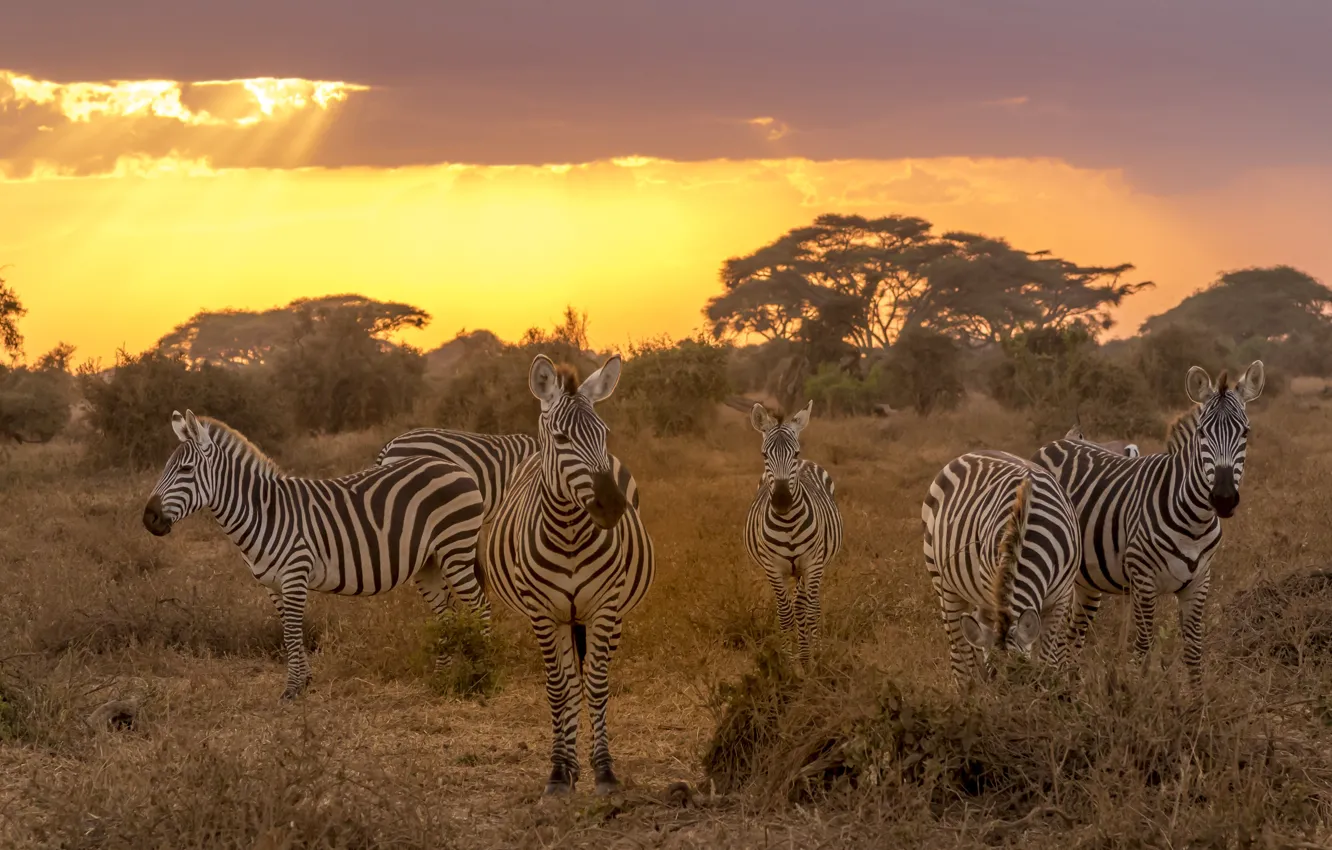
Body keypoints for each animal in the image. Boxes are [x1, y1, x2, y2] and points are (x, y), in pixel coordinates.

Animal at [141, 410, 485, 700]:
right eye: (166, 468)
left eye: (186, 469)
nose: (148, 519)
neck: (264, 513)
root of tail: (454, 467)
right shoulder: (272, 584)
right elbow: (288, 631)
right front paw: (304, 681)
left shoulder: (295, 574)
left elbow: (293, 632)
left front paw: (293, 689)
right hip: (429, 563)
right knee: (446, 615)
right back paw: (441, 677)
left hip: (455, 549)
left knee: (479, 605)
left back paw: (484, 672)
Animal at [484, 353, 654, 796]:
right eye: (561, 439)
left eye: (604, 434)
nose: (612, 506)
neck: (569, 532)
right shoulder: (544, 613)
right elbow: (559, 689)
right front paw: (560, 772)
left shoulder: (604, 608)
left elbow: (596, 685)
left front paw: (604, 770)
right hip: (560, 619)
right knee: (564, 682)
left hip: (604, 617)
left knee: (588, 677)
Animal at [745, 401, 843, 664]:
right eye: (764, 455)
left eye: (795, 453)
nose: (781, 501)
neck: (788, 522)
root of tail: (808, 462)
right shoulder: (773, 568)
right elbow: (785, 615)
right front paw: (790, 662)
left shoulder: (813, 563)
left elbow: (810, 611)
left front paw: (812, 660)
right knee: (797, 607)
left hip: (808, 567)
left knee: (808, 606)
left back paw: (811, 651)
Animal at [922, 451, 1081, 687]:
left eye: (1028, 682)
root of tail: (969, 453)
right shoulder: (994, 585)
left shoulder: (1062, 595)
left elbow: (1047, 655)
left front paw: (1051, 684)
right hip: (943, 582)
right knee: (960, 650)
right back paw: (967, 688)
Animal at [1032, 361, 1265, 685]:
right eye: (1202, 432)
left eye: (1245, 432)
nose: (1223, 498)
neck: (1195, 522)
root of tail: (1059, 441)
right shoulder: (1143, 579)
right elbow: (1143, 646)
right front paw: (1133, 691)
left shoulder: (1200, 582)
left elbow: (1194, 651)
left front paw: (1196, 698)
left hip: (1086, 580)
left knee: (1072, 636)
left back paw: (1064, 684)